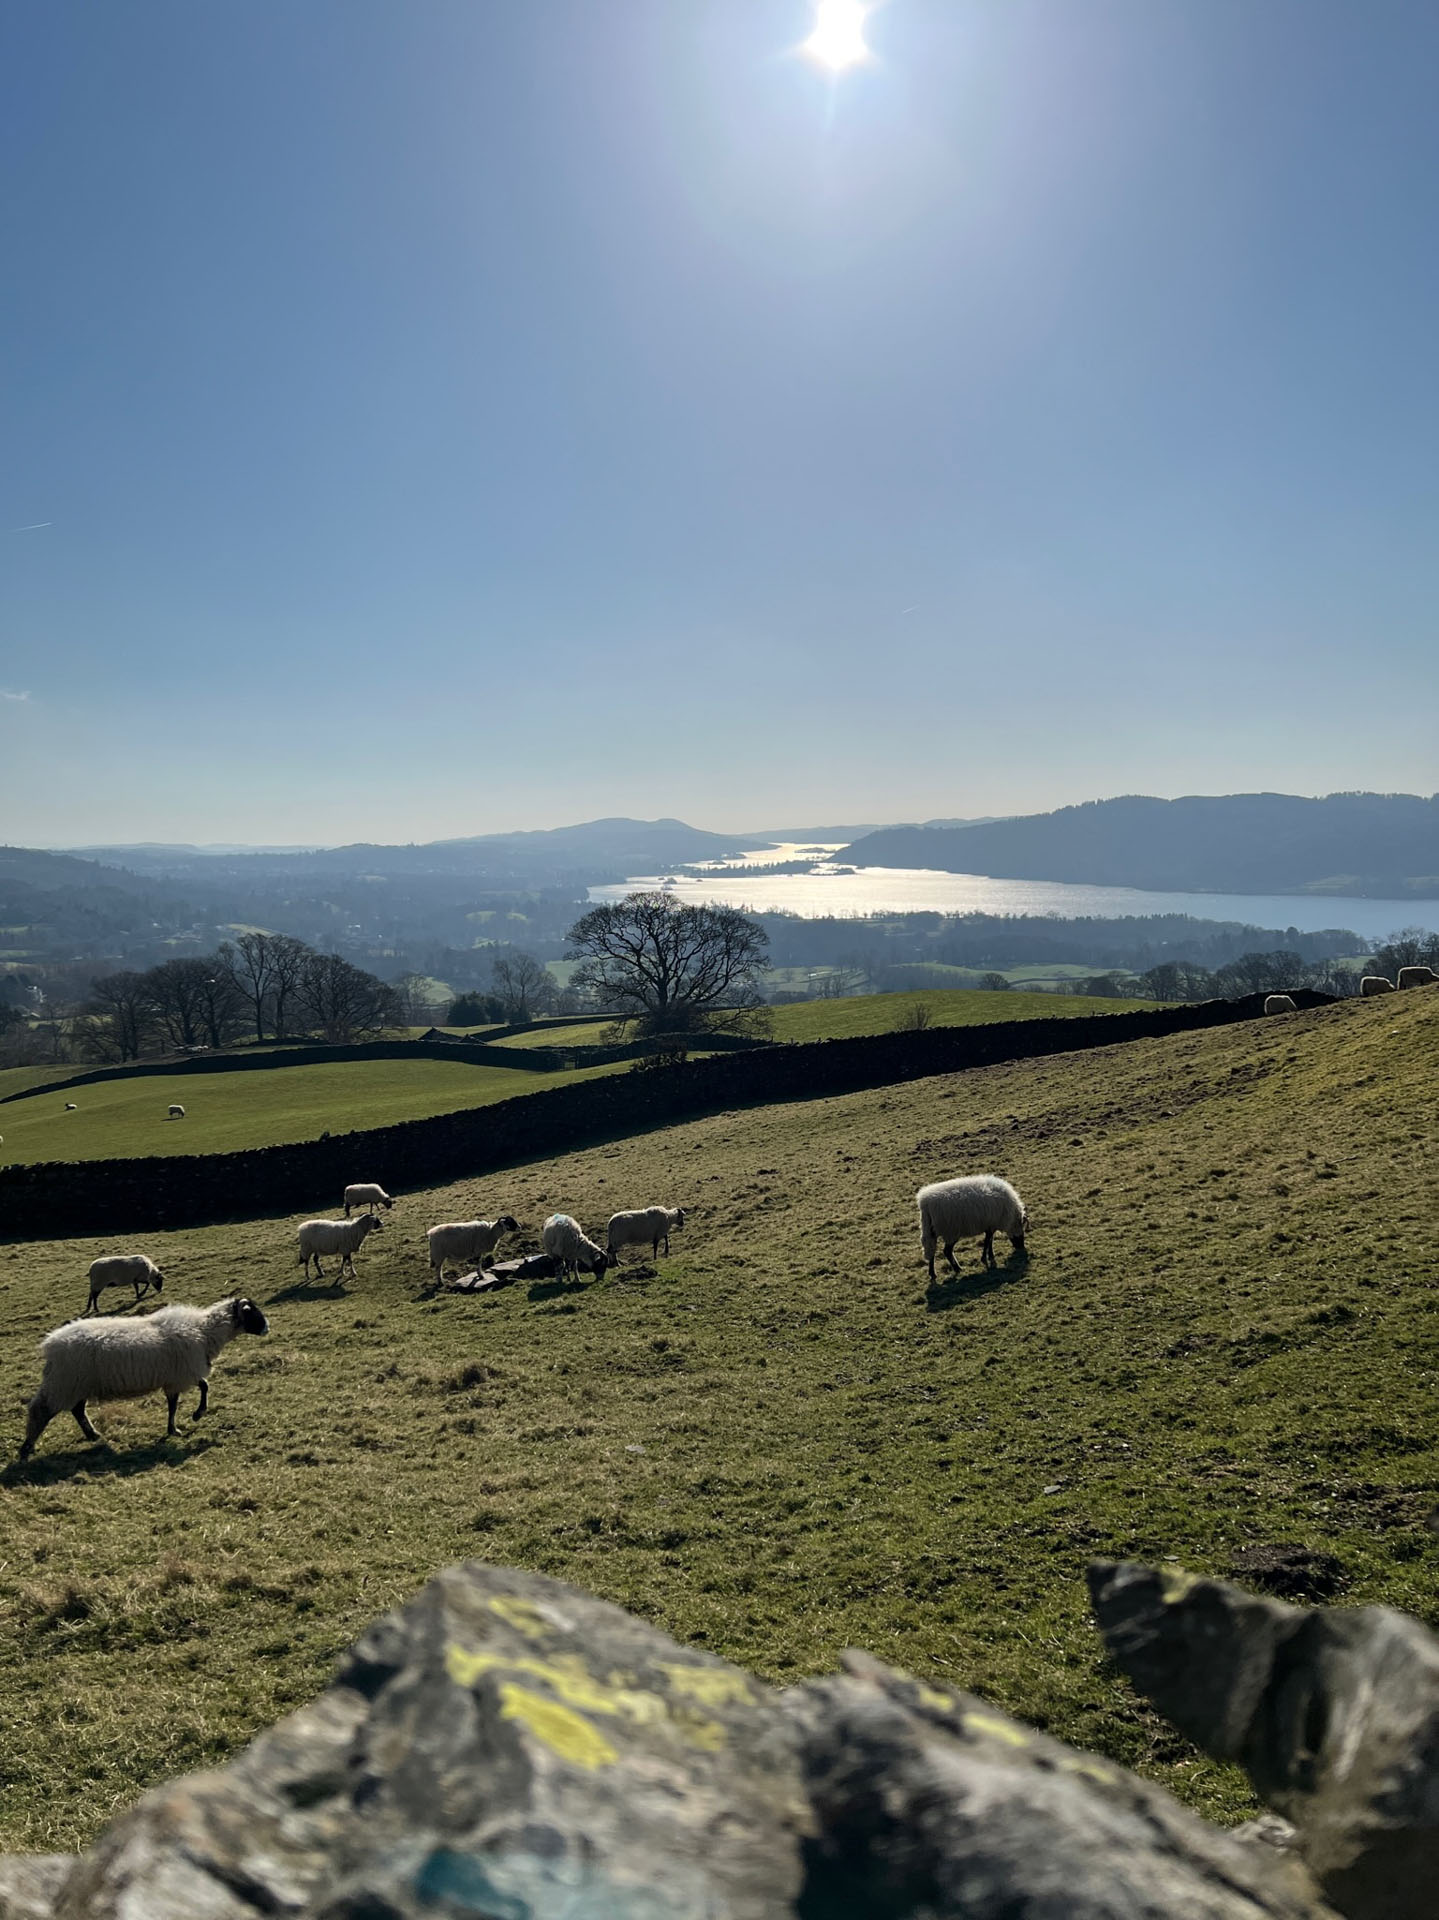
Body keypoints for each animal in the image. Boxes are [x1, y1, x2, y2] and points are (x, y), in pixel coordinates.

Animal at [17, 1297, 268, 1459]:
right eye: (252, 1312)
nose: (267, 1329)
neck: (204, 1331)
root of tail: (50, 1344)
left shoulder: (177, 1376)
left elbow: (179, 1401)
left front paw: (175, 1428)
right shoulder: (183, 1372)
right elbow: (199, 1390)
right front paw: (194, 1417)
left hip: (75, 1384)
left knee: (77, 1410)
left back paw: (92, 1435)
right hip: (64, 1382)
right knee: (40, 1411)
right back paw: (26, 1448)